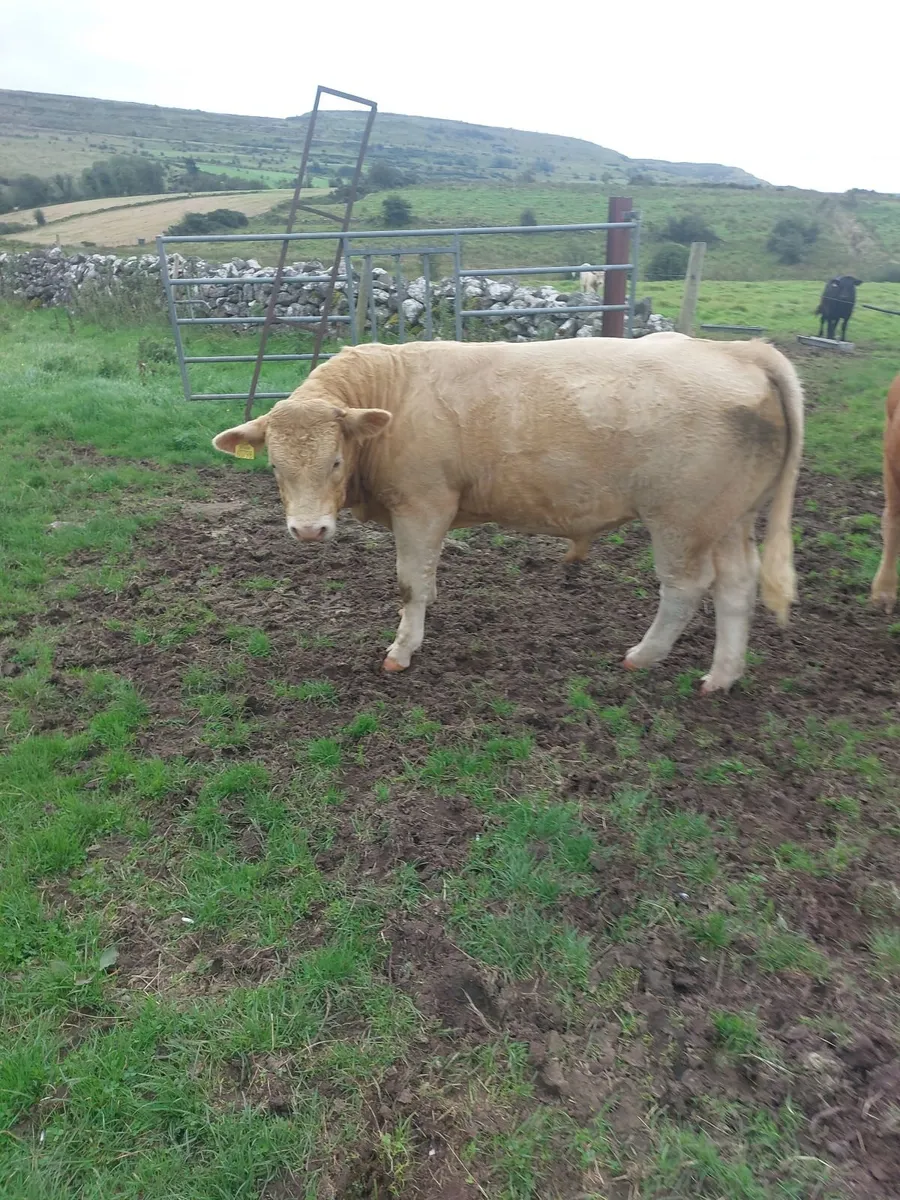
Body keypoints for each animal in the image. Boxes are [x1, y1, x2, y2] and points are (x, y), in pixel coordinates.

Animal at [212, 333, 804, 694]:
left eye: (335, 461)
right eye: (275, 466)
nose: (308, 530)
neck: (394, 394)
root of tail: (741, 350)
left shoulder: (423, 503)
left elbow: (409, 584)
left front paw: (402, 649)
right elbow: (426, 580)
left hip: (681, 517)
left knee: (685, 586)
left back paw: (644, 654)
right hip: (729, 517)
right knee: (737, 585)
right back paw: (722, 675)